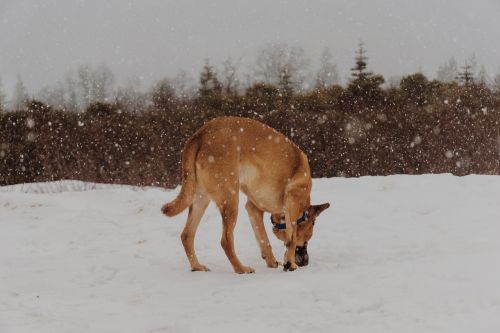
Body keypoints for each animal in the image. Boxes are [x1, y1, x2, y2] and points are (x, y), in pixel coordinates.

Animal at [162, 116, 330, 272]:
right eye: (307, 241)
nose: (305, 262)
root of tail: (199, 135)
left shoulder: (253, 209)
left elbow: (264, 239)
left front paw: (272, 261)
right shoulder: (293, 202)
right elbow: (291, 239)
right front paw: (290, 263)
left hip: (200, 199)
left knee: (187, 235)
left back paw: (197, 266)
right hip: (230, 198)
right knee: (225, 240)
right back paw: (241, 269)